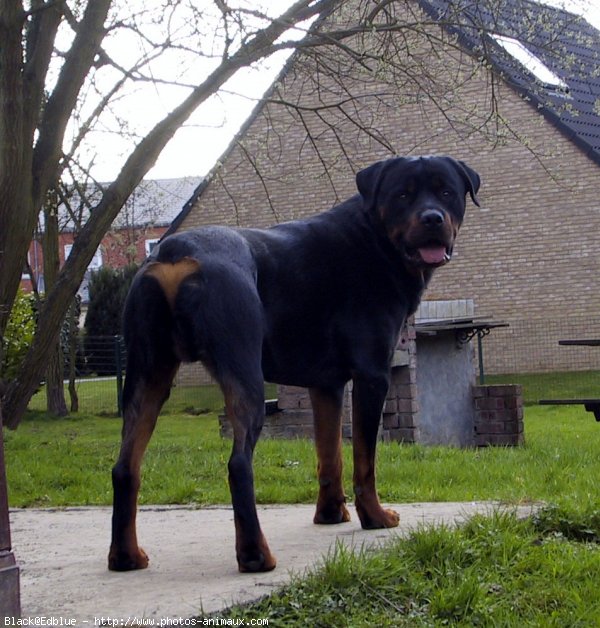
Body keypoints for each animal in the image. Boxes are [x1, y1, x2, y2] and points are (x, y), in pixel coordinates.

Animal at [110, 156, 480, 576]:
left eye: (447, 191)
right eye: (402, 194)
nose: (433, 217)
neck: (377, 241)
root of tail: (174, 256)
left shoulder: (327, 385)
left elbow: (330, 453)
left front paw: (330, 513)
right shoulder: (372, 375)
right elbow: (364, 459)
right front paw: (375, 516)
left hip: (147, 374)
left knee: (125, 466)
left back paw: (126, 556)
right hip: (244, 374)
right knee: (239, 464)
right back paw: (256, 555)